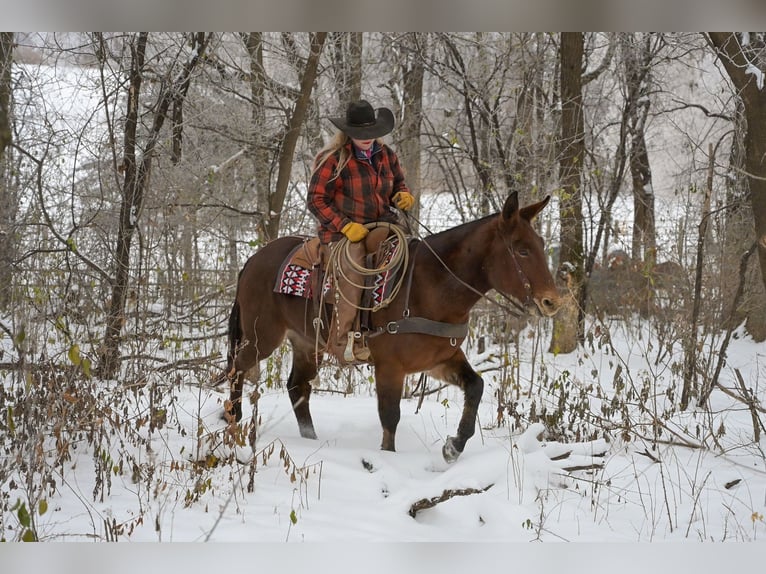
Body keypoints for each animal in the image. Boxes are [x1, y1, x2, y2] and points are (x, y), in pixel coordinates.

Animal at [223, 191, 562, 463]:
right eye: (521, 249)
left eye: (541, 244)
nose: (552, 301)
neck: (430, 286)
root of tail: (253, 259)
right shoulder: (390, 366)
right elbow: (390, 416)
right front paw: (388, 459)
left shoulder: (440, 360)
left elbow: (475, 386)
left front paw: (454, 446)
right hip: (262, 337)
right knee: (237, 368)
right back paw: (233, 419)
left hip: (307, 343)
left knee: (297, 386)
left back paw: (310, 439)